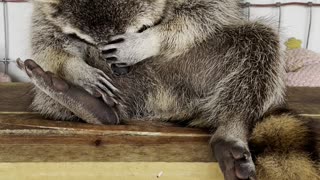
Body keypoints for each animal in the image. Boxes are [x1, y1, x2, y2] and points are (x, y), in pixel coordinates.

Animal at [18, 0, 320, 179]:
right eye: (82, 37)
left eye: (138, 29)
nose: (117, 71)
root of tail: (162, 103)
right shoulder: (44, 10)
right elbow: (45, 36)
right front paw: (77, 70)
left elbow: (205, 12)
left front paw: (147, 41)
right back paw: (86, 103)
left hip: (196, 71)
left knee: (259, 41)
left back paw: (232, 126)